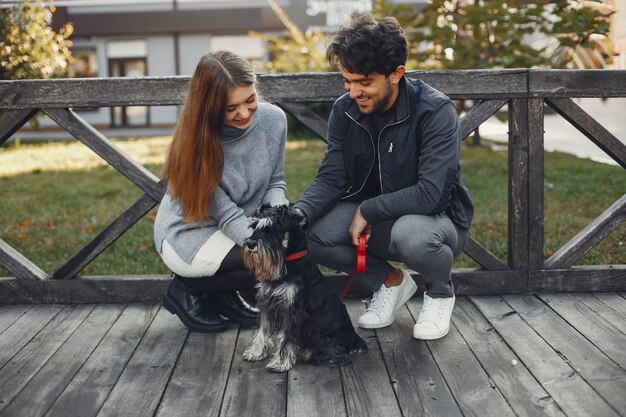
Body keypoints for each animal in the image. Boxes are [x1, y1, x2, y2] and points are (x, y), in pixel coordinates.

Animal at [239, 204, 366, 370]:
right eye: (254, 226)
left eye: (272, 228)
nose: (250, 244)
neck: (287, 264)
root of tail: (354, 339)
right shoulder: (267, 304)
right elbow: (262, 329)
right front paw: (255, 352)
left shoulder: (293, 310)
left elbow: (287, 337)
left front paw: (280, 362)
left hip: (323, 338)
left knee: (336, 354)